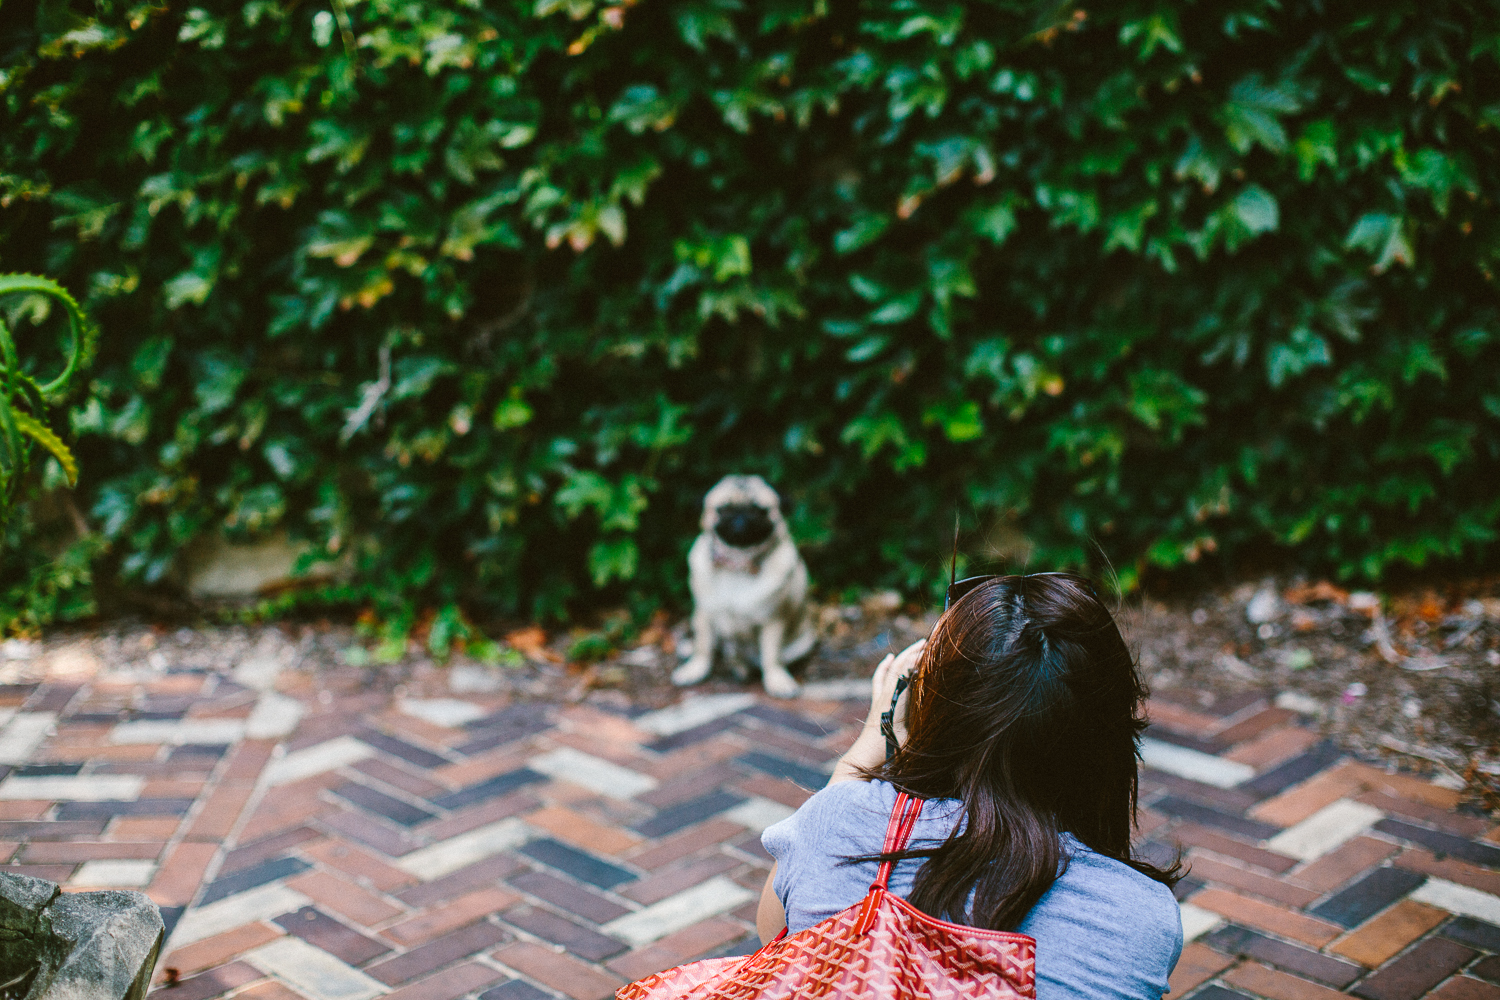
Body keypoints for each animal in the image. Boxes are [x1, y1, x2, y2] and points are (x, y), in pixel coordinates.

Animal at [678, 476, 822, 695]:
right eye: (724, 510)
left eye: (758, 510)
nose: (741, 519)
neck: (738, 564)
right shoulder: (704, 613)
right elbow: (703, 647)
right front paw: (694, 669)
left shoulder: (773, 620)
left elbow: (772, 655)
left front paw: (776, 680)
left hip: (801, 643)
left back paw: (741, 668)